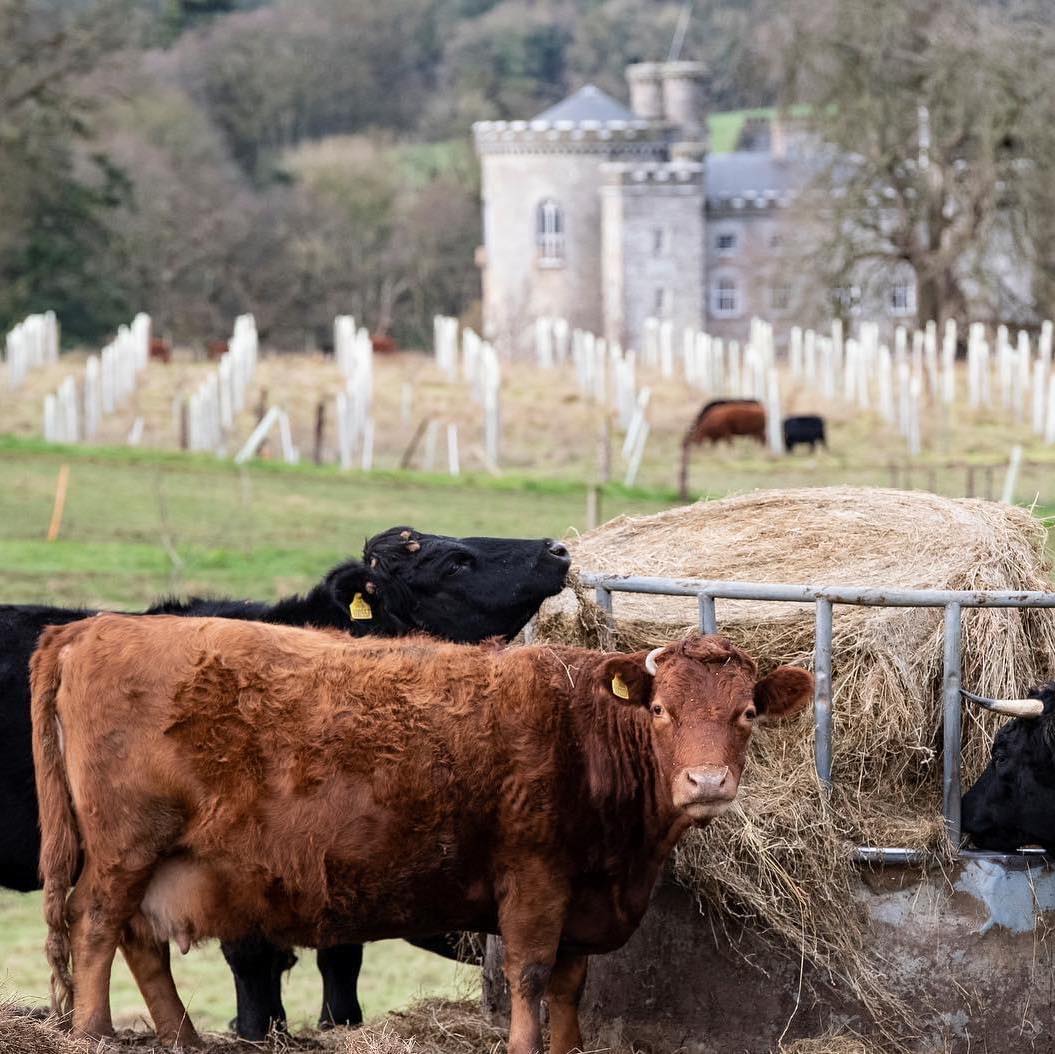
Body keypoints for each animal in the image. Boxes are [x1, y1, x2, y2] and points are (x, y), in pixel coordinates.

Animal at [0, 527, 573, 1038]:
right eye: (454, 564)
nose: (557, 549)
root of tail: (68, 640)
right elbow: (258, 957)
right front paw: (262, 1029)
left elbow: (339, 954)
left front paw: (338, 1022)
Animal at [30, 616, 806, 1050]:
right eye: (663, 711)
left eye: (744, 713)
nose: (706, 782)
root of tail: (90, 627)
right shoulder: (533, 879)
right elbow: (529, 975)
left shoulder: (580, 902)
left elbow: (567, 987)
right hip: (125, 848)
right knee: (95, 923)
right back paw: (95, 1033)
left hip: (155, 859)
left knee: (138, 939)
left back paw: (181, 1036)